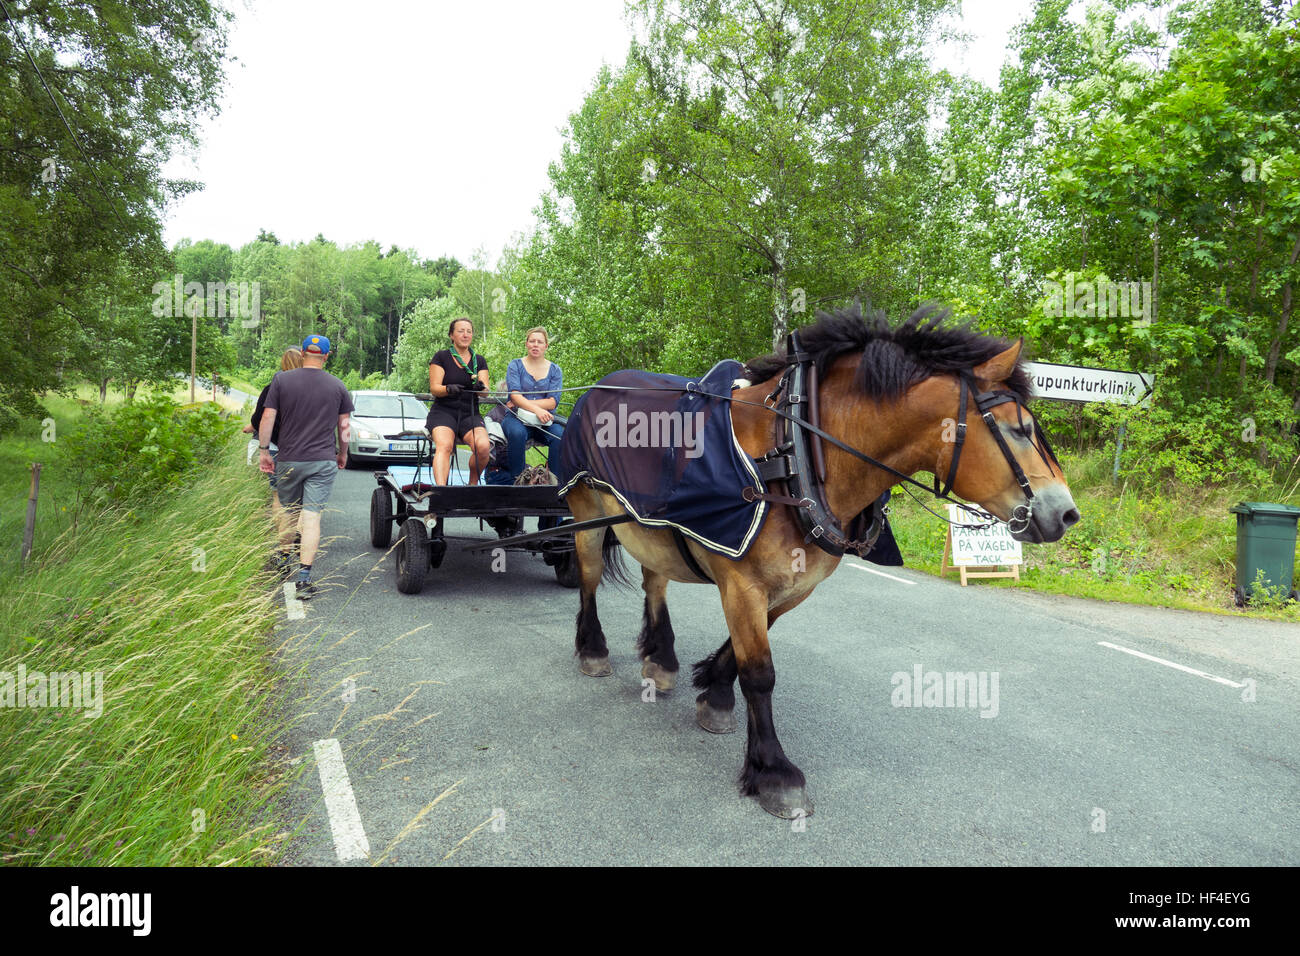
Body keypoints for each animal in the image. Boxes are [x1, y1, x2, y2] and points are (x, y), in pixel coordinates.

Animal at [560, 304, 1080, 818]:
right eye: (1019, 430)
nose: (1066, 513)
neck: (792, 454)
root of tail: (597, 388)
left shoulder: (793, 586)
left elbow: (744, 654)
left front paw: (716, 695)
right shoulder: (742, 583)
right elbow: (760, 673)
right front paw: (774, 771)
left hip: (651, 525)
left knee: (655, 581)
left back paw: (660, 658)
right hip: (586, 510)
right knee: (589, 578)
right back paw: (593, 650)